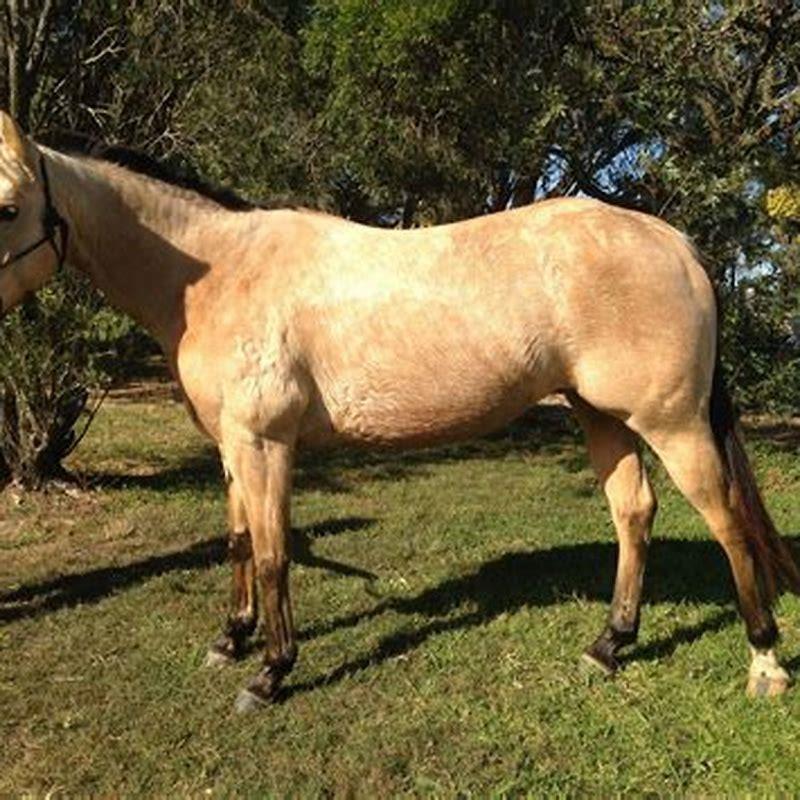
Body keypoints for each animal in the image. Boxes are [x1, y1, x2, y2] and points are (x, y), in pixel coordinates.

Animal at [1, 110, 798, 712]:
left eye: (9, 206)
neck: (217, 273)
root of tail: (676, 242)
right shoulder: (231, 445)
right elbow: (238, 544)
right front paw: (230, 640)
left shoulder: (265, 444)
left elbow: (273, 552)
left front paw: (271, 672)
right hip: (602, 416)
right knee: (634, 513)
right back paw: (609, 645)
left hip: (674, 424)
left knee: (726, 521)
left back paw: (764, 662)